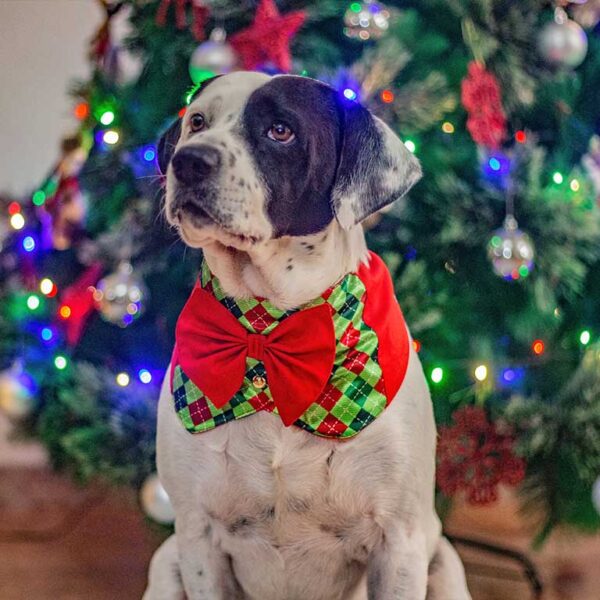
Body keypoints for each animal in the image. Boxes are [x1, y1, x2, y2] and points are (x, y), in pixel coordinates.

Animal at [143, 71, 472, 600]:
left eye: (281, 130)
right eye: (197, 121)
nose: (188, 161)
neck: (269, 324)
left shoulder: (399, 542)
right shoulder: (198, 536)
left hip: (442, 564)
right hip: (167, 565)